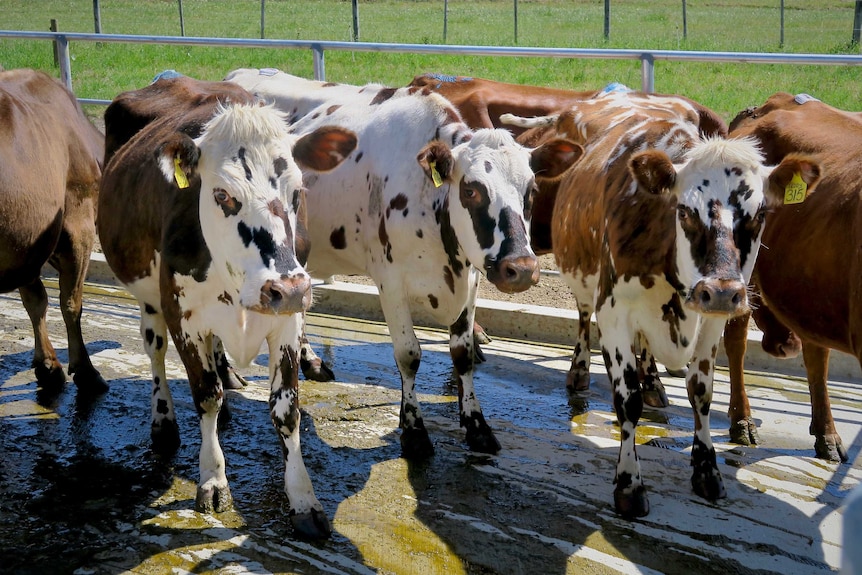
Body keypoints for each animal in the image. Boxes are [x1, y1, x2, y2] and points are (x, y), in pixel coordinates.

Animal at [0, 65, 107, 394]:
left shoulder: (25, 240)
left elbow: (35, 300)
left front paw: (48, 365)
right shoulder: (78, 222)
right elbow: (71, 302)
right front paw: (85, 371)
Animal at [98, 77, 358, 540]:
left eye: (297, 191)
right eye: (222, 194)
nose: (288, 288)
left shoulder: (287, 323)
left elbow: (286, 411)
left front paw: (303, 498)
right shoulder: (183, 319)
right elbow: (205, 397)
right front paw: (213, 479)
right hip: (150, 301)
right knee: (155, 352)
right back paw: (163, 421)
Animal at [226, 67, 584, 460]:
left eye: (531, 191)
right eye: (471, 190)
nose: (520, 269)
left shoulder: (471, 278)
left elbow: (462, 355)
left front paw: (476, 426)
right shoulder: (390, 280)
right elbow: (408, 354)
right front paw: (414, 431)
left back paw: (310, 361)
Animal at [516, 90, 820, 516]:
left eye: (760, 214)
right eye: (685, 211)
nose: (722, 291)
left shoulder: (711, 320)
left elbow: (701, 391)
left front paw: (707, 470)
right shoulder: (614, 312)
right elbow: (625, 400)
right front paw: (629, 485)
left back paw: (654, 382)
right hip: (584, 279)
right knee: (582, 315)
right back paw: (580, 372)